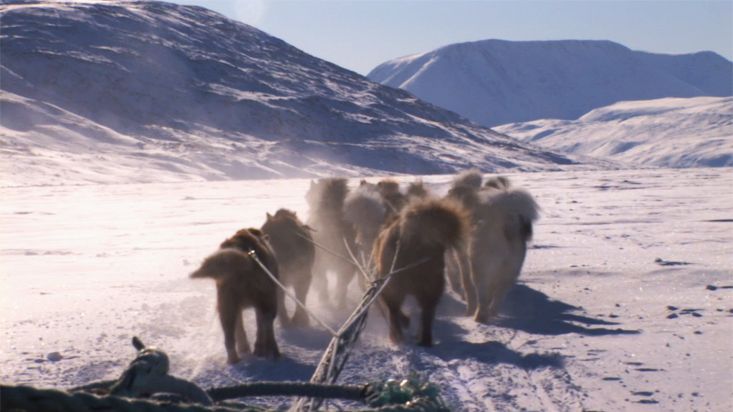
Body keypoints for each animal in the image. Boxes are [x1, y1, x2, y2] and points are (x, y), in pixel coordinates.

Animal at [189, 229, 280, 364]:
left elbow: (240, 329)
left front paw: (245, 348)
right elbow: (260, 326)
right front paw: (257, 348)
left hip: (226, 306)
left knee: (229, 339)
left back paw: (234, 360)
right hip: (267, 300)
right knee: (267, 325)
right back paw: (272, 350)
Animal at [372, 198, 468, 346]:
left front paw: (405, 322)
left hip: (394, 284)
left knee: (394, 312)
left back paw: (396, 336)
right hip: (431, 285)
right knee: (426, 314)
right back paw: (424, 339)